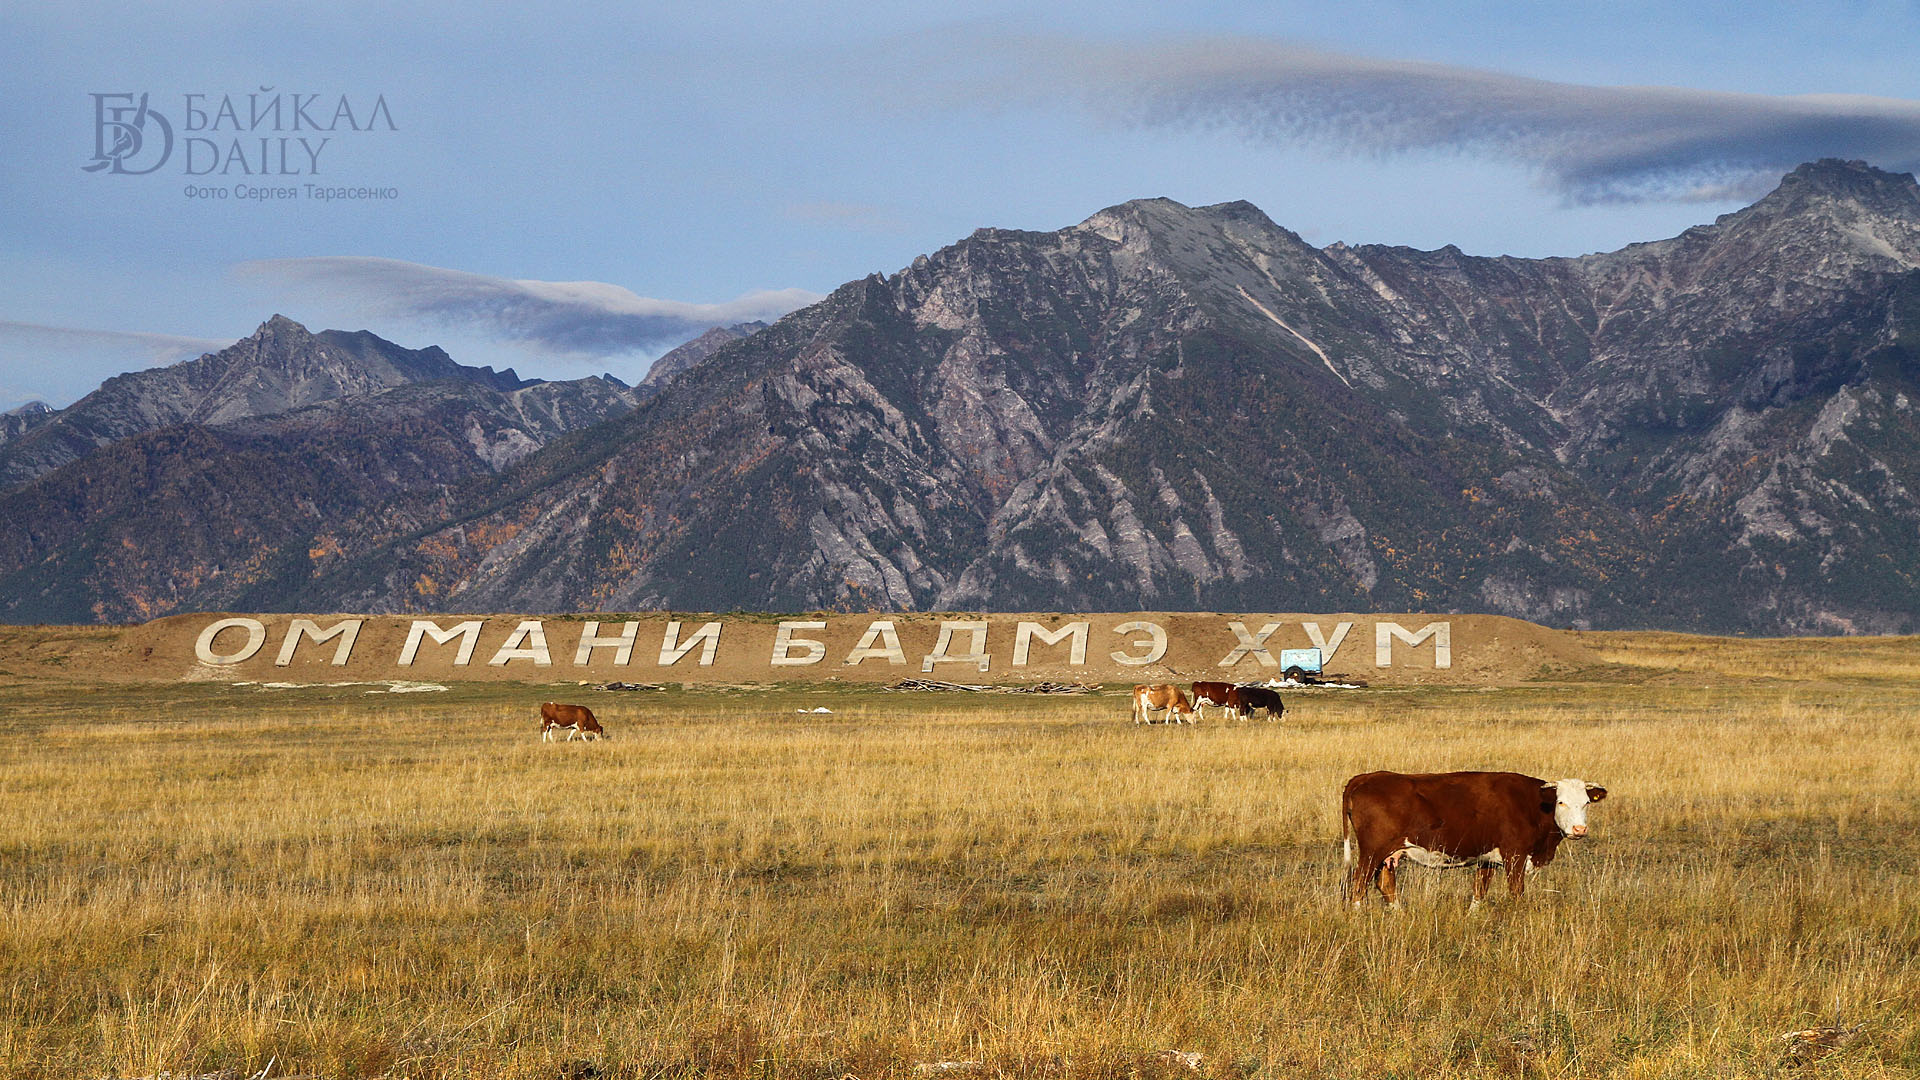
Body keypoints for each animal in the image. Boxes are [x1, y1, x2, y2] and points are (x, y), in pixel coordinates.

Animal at [1344, 768, 1612, 903]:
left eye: (1587, 802)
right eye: (1561, 802)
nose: (1579, 830)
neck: (1531, 804)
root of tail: (1367, 777)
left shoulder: (1488, 859)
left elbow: (1479, 892)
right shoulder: (1514, 856)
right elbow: (1516, 893)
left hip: (1388, 855)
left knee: (1385, 884)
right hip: (1371, 853)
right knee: (1358, 885)